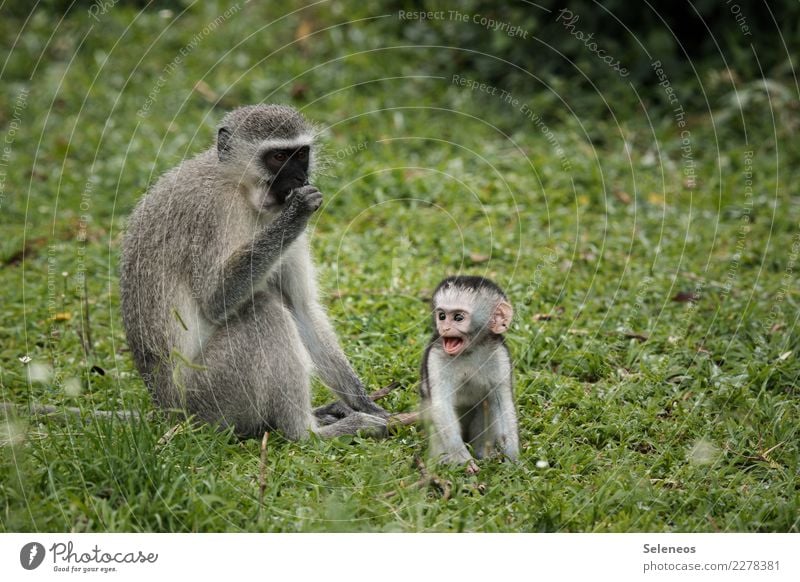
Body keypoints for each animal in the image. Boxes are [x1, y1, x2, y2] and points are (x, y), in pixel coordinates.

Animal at [418, 278, 520, 474]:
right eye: (442, 316)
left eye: (458, 318)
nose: (445, 327)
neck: (470, 351)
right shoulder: (436, 356)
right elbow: (441, 405)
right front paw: (463, 460)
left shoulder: (500, 355)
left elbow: (502, 404)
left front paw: (513, 461)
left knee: (487, 404)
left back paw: (484, 454)